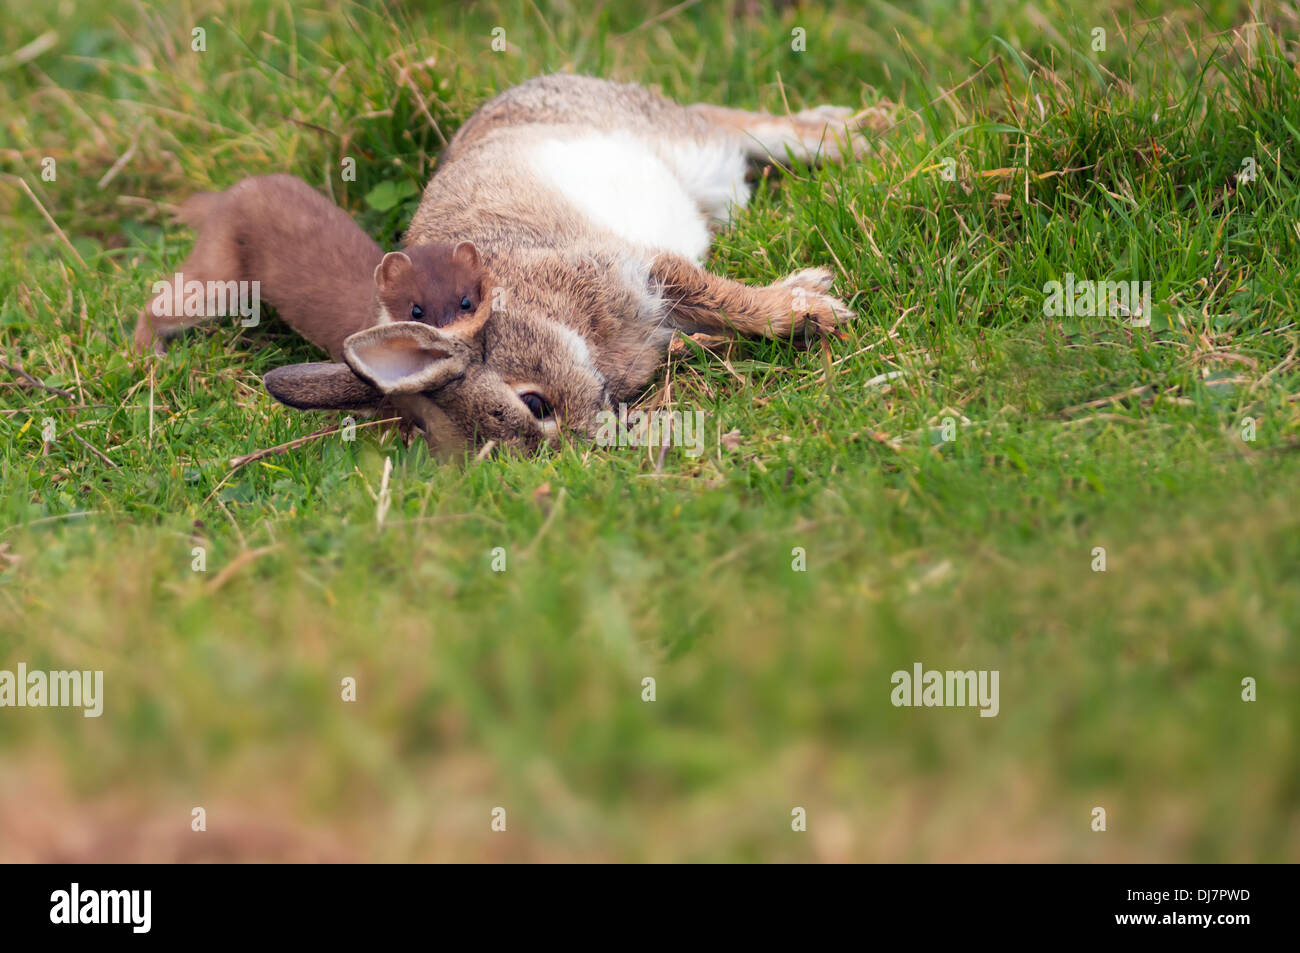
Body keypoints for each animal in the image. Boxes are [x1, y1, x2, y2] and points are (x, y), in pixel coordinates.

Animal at [250, 73, 894, 452]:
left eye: (534, 403)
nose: (594, 440)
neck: (534, 309)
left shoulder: (635, 268)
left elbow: (724, 298)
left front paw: (816, 307)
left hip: (680, 142)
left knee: (740, 126)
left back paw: (864, 130)